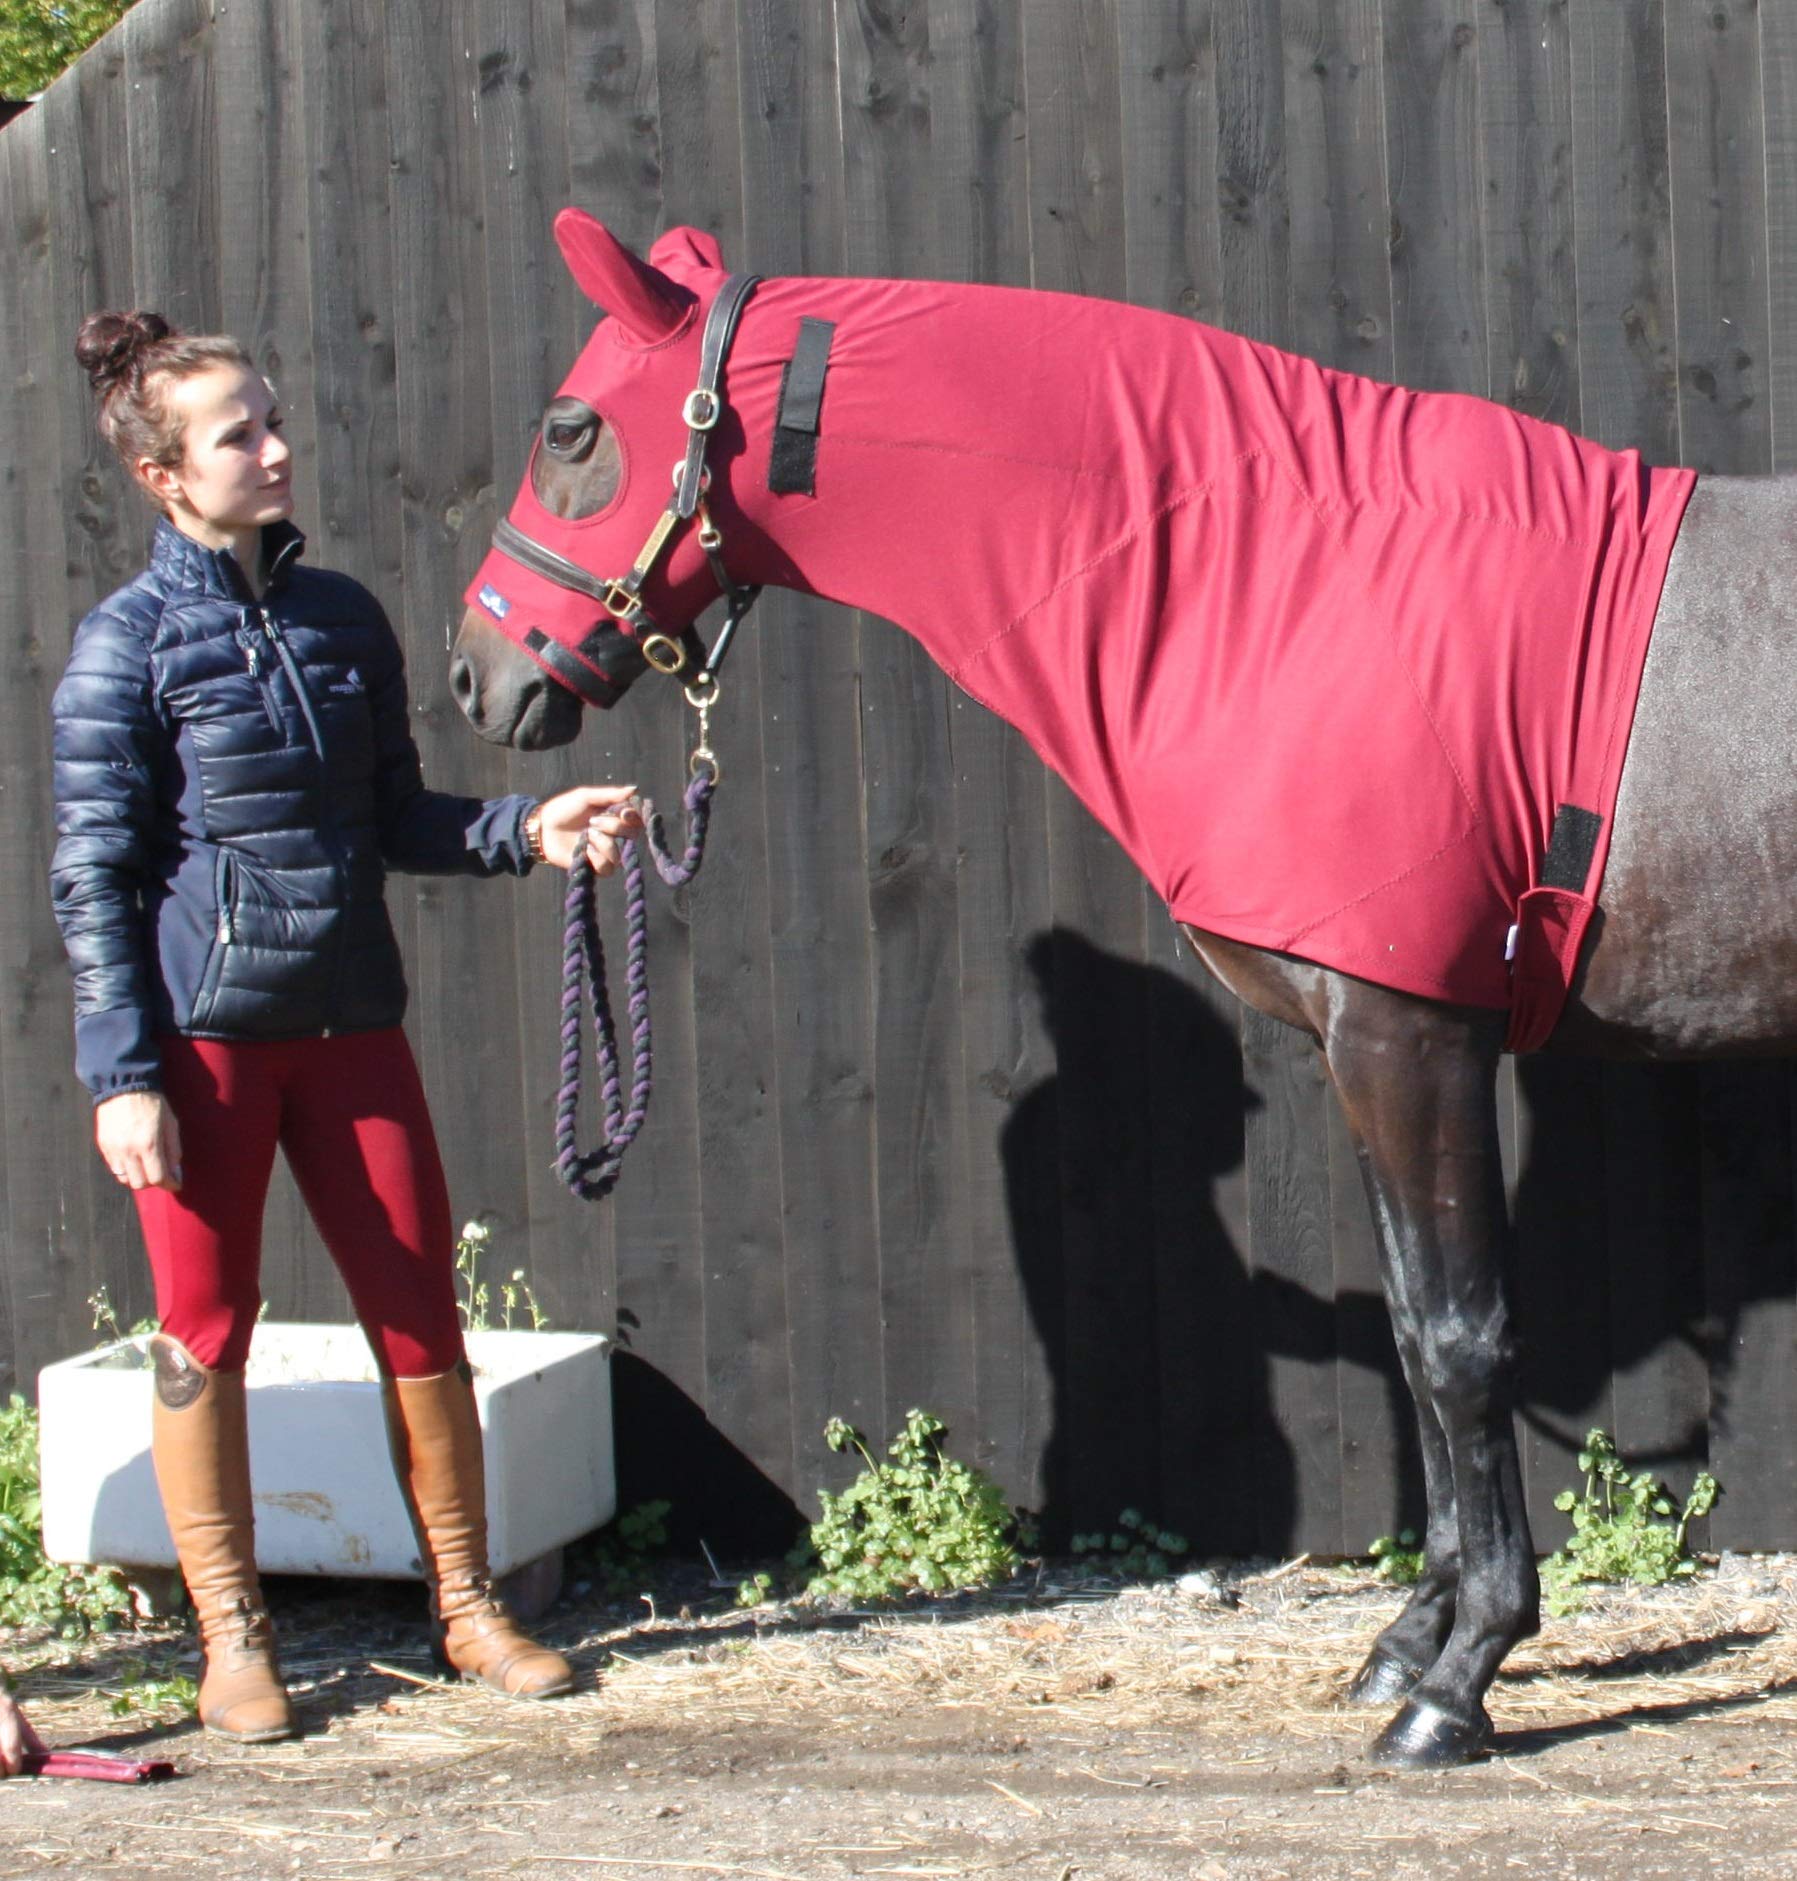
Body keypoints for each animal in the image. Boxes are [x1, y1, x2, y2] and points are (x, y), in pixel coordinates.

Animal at [446, 210, 1797, 1769]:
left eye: (571, 428)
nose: (476, 677)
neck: (1295, 581)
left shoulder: (1408, 1035)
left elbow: (1460, 1346)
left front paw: (1461, 1682)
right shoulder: (1367, 1045)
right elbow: (1411, 1333)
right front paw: (1408, 1645)